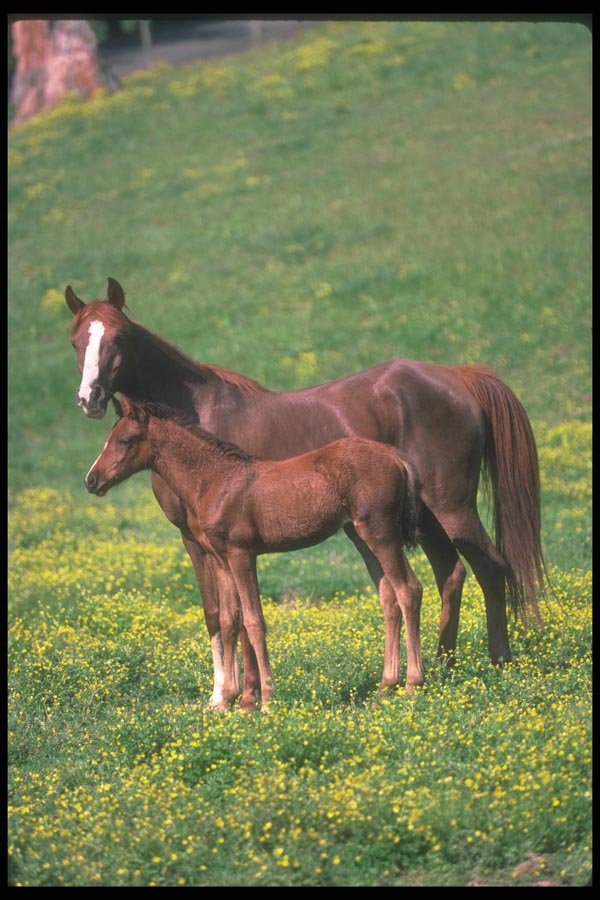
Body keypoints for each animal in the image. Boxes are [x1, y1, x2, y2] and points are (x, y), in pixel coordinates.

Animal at [84, 397, 424, 709]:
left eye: (125, 440)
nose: (91, 480)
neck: (216, 481)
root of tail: (396, 456)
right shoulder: (221, 560)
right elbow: (228, 620)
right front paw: (226, 700)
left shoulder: (241, 555)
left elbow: (253, 621)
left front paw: (266, 699)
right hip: (360, 536)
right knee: (388, 596)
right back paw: (386, 685)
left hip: (380, 533)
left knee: (409, 589)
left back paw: (412, 683)